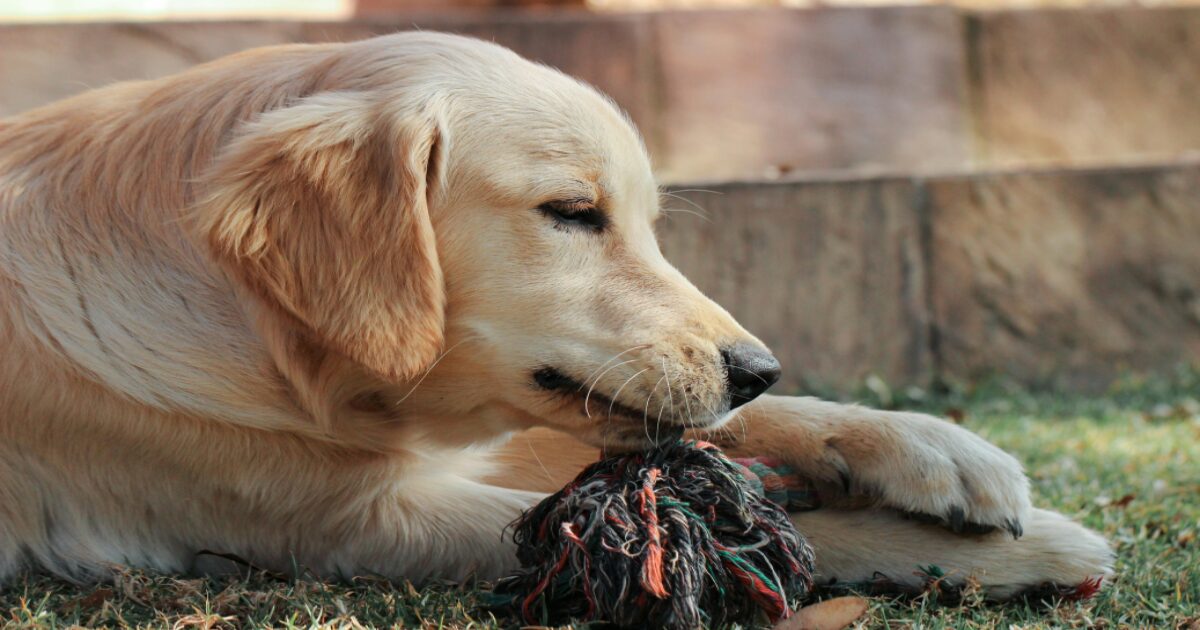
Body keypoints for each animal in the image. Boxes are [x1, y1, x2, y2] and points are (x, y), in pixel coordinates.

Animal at [0, 30, 1108, 600]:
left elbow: (743, 433)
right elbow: (792, 535)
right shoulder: (355, 519)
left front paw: (939, 452)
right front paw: (1034, 553)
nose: (757, 366)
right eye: (574, 213)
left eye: (649, 224)